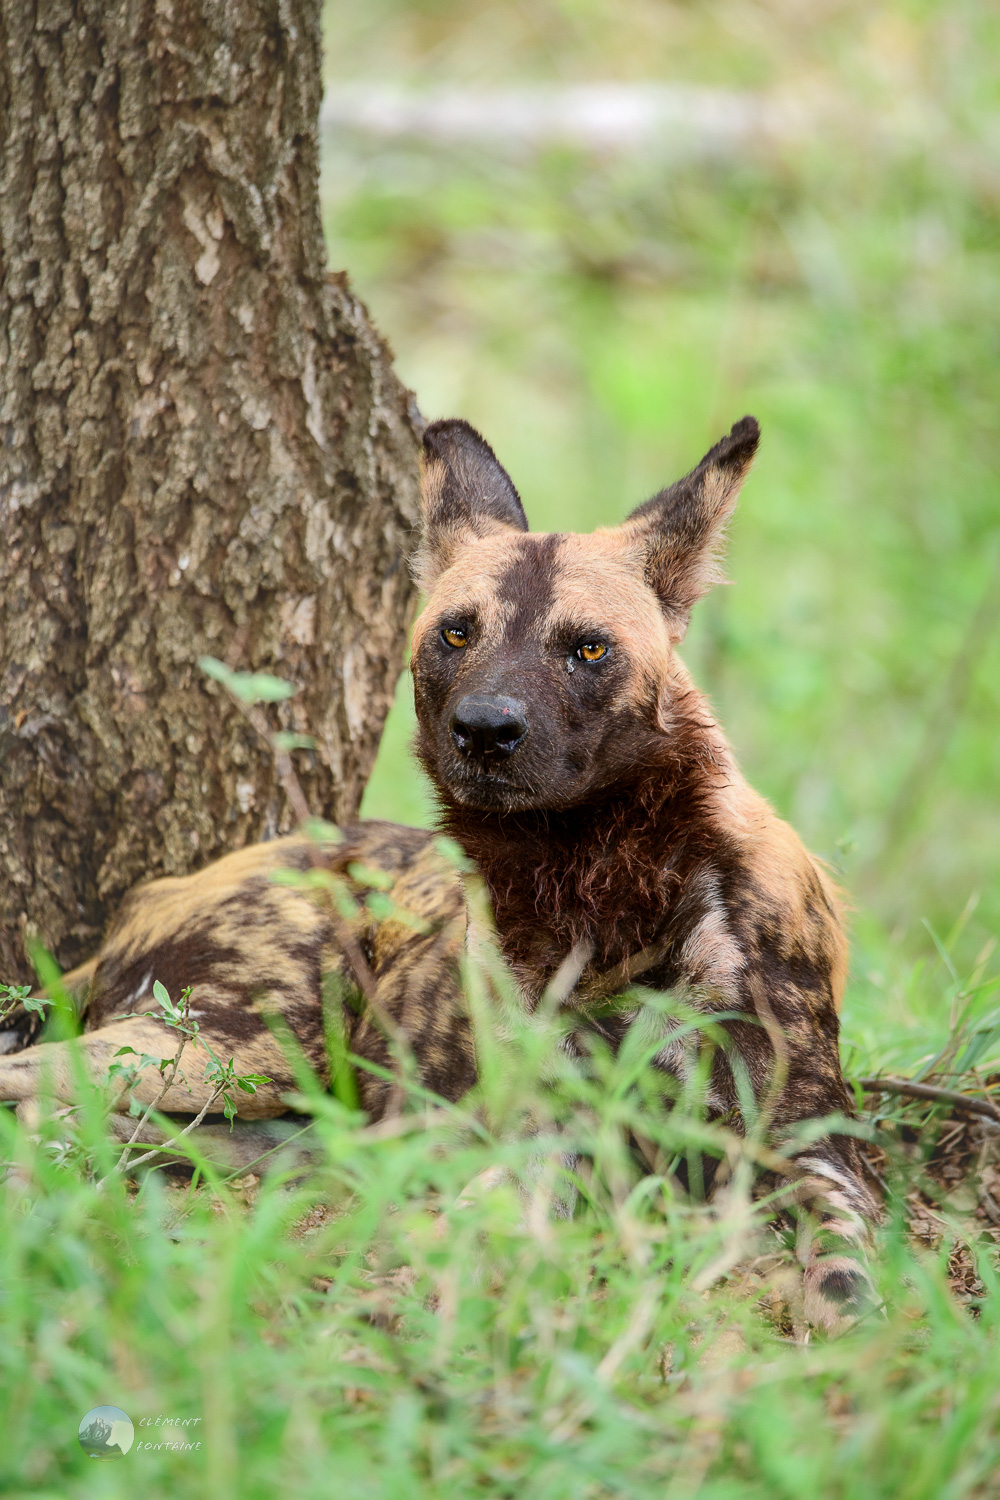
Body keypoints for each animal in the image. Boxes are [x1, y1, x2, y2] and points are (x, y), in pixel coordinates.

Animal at [0, 417, 875, 1332]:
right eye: (456, 633)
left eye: (588, 648)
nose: (485, 730)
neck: (593, 885)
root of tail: (162, 891)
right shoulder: (544, 1140)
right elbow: (485, 1236)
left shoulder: (815, 1159)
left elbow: (847, 1286)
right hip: (240, 1046)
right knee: (40, 1082)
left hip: (274, 1114)